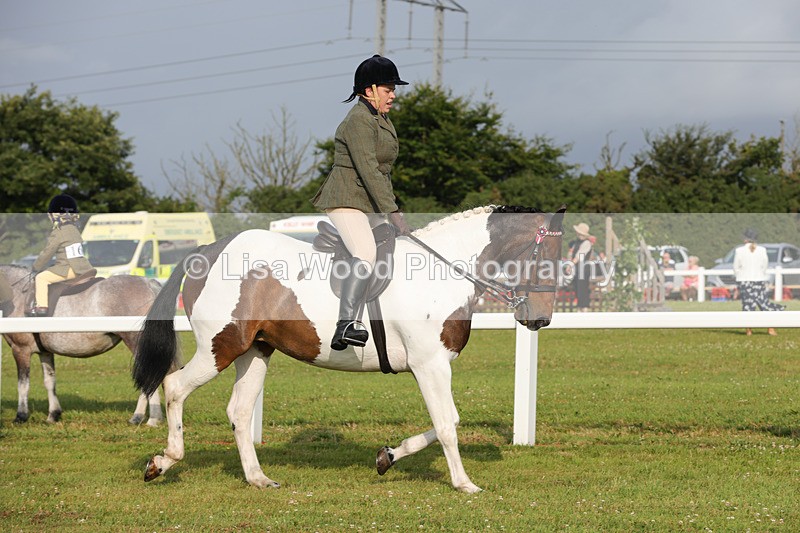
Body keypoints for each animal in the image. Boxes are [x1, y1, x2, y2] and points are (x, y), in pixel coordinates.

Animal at [0, 265, 165, 425]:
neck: (18, 293)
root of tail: (149, 284)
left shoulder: (20, 349)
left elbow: (23, 384)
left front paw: (21, 416)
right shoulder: (45, 352)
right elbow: (50, 381)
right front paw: (53, 414)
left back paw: (147, 418)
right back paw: (144, 417)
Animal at [133, 205, 565, 493]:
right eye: (546, 257)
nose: (540, 320)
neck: (443, 270)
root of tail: (206, 250)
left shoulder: (432, 367)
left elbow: (444, 423)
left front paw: (388, 456)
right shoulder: (431, 365)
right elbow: (446, 424)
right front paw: (464, 484)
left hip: (255, 351)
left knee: (239, 411)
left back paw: (258, 478)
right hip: (220, 346)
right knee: (175, 387)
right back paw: (162, 462)